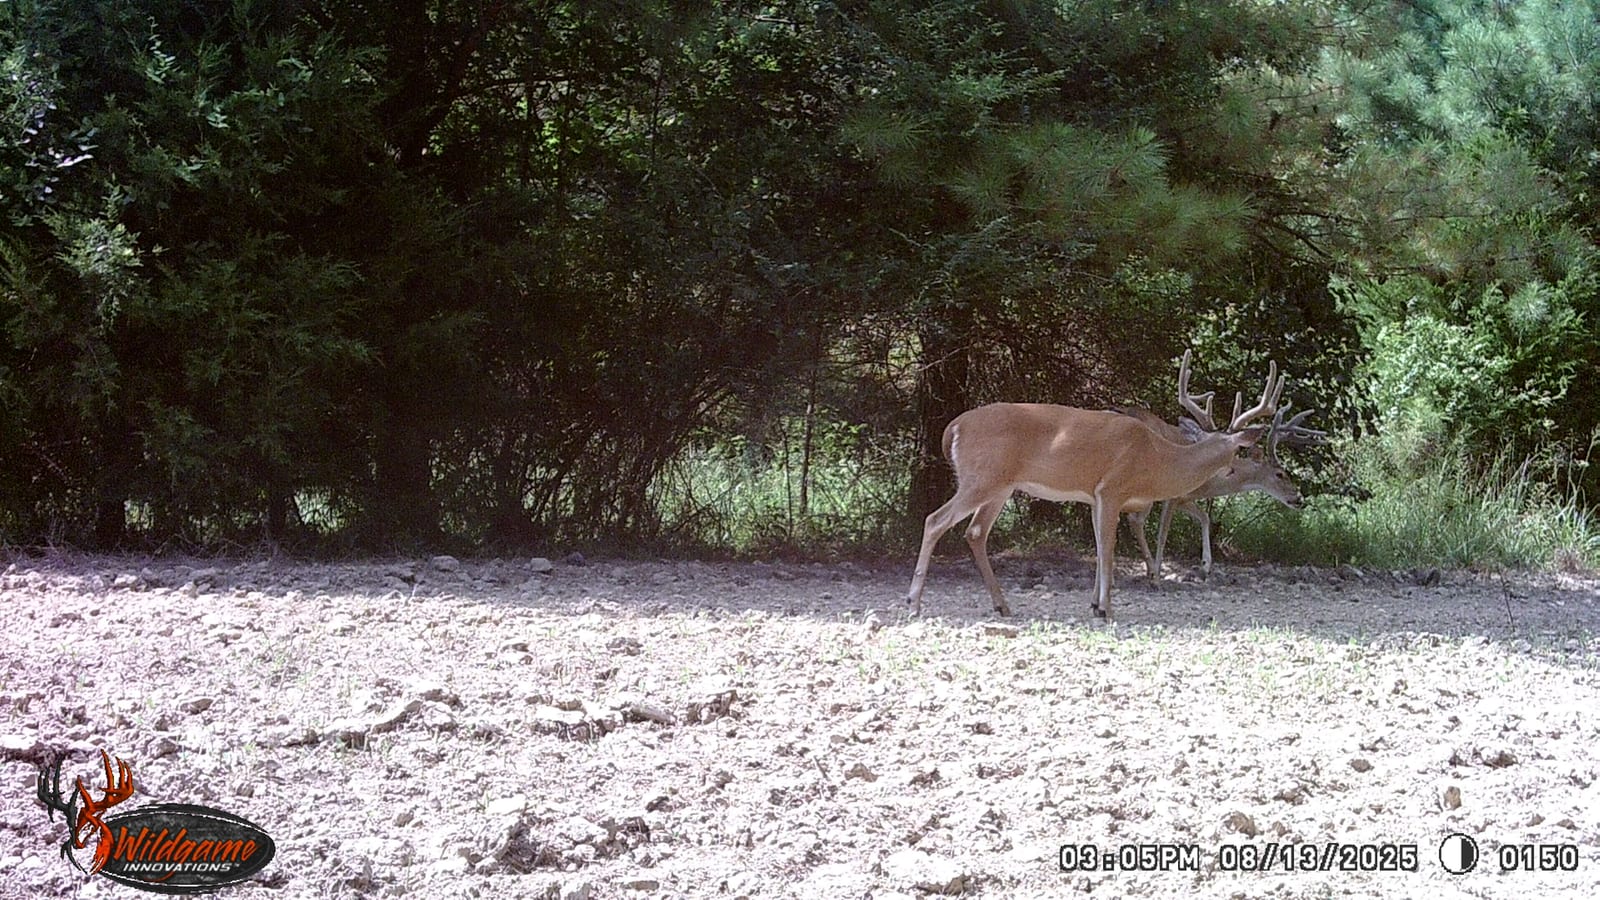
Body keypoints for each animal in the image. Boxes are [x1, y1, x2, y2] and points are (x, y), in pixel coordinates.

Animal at [905, 356, 1284, 620]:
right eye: (1237, 450)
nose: (1233, 470)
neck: (1155, 459)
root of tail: (952, 428)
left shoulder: (1094, 496)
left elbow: (1100, 548)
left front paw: (1094, 605)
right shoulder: (1112, 488)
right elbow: (1109, 549)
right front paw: (1107, 609)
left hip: (999, 487)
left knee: (974, 532)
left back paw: (1002, 605)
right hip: (980, 478)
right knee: (935, 520)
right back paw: (914, 602)